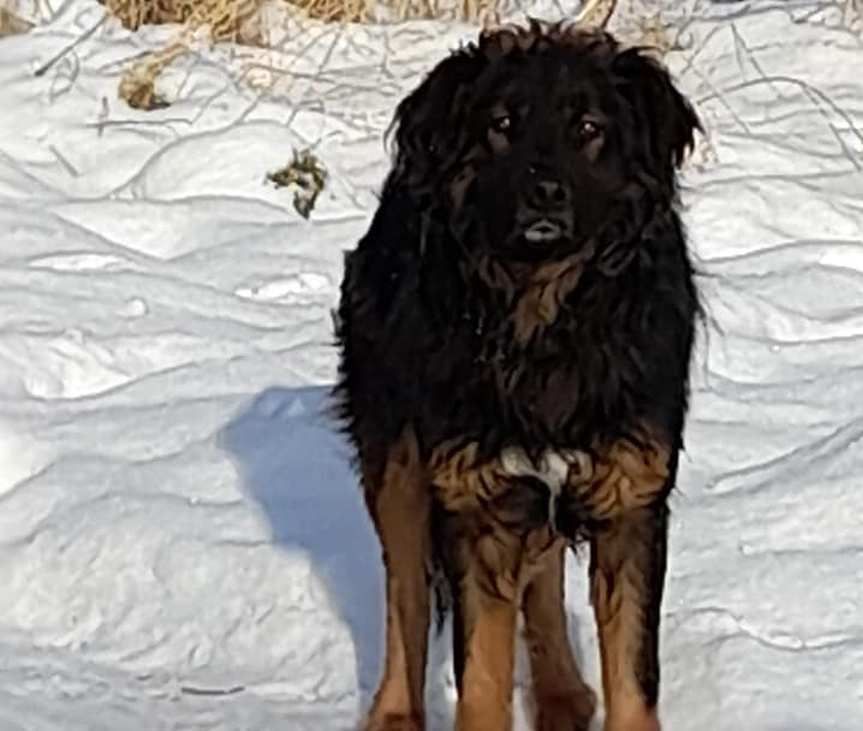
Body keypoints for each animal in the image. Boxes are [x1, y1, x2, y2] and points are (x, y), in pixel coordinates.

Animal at [336, 17, 704, 731]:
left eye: (588, 127)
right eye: (502, 124)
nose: (545, 191)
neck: (544, 321)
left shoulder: (631, 494)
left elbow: (632, 668)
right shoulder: (474, 496)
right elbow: (480, 666)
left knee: (544, 569)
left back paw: (561, 692)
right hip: (395, 453)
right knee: (405, 589)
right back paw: (395, 711)